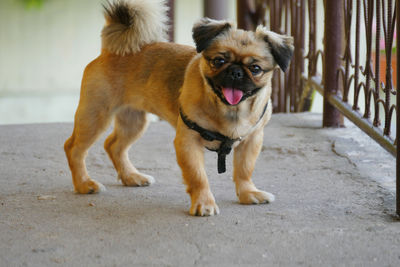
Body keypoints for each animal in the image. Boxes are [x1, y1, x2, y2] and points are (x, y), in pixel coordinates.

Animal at [63, 0, 294, 217]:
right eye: (219, 61)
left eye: (255, 69)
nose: (236, 72)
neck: (230, 110)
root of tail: (111, 50)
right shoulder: (188, 143)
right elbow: (198, 177)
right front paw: (204, 204)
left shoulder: (251, 141)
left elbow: (244, 171)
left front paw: (248, 194)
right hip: (95, 117)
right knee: (74, 148)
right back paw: (84, 184)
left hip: (133, 121)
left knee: (113, 145)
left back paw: (131, 177)